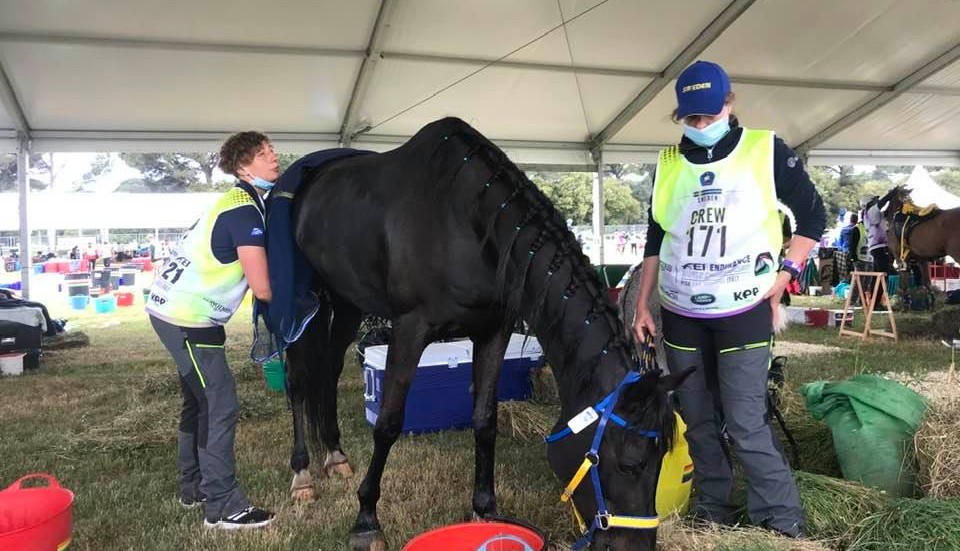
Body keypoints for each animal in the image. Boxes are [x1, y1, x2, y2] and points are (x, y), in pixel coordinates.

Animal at [282, 117, 688, 551]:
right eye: (631, 464)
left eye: (664, 461)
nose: (639, 547)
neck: (468, 223)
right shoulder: (409, 329)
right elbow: (388, 423)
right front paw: (366, 518)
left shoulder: (493, 331)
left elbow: (484, 420)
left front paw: (485, 507)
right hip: (302, 305)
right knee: (299, 380)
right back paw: (302, 474)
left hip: (346, 302)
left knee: (327, 371)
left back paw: (335, 455)